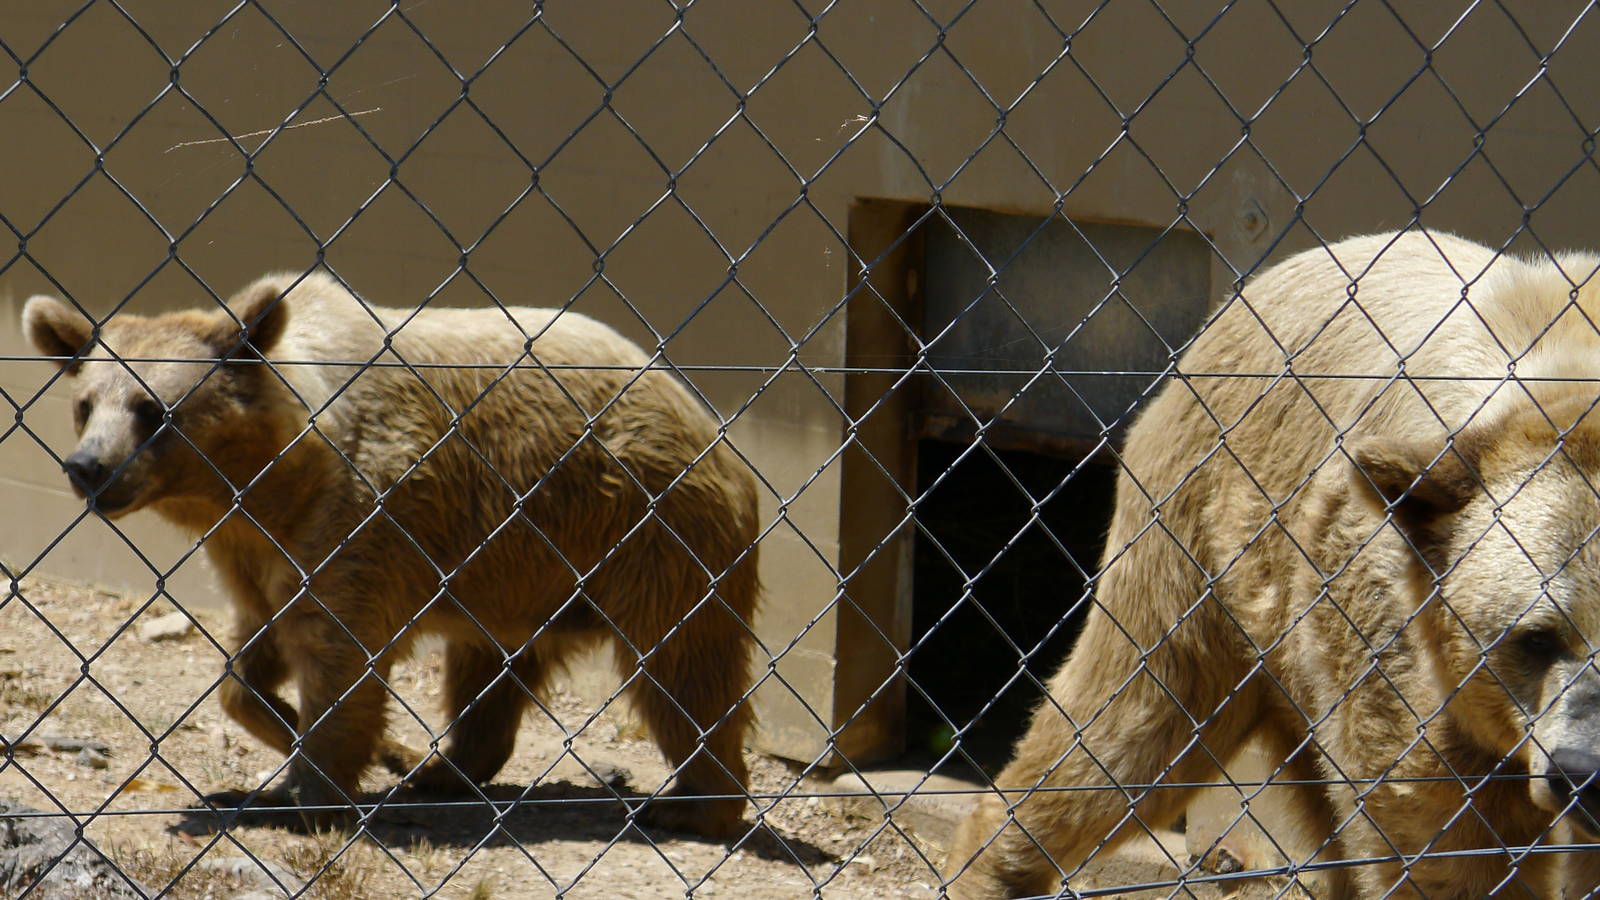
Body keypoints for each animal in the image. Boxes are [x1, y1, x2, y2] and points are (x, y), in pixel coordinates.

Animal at [21, 271, 761, 837]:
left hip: (647, 525)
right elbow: (249, 659)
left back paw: (694, 806)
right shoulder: (258, 552)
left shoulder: (359, 517)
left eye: (152, 408)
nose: (87, 468)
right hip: (524, 569)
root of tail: (709, 422)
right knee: (489, 671)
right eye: (85, 403)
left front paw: (304, 792)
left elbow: (337, 654)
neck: (265, 481)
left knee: (683, 666)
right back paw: (438, 768)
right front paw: (301, 733)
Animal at [943, 231, 1600, 898]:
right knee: (1130, 727)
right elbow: (1446, 834)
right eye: (1536, 636)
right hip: (1204, 528)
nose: (1581, 772)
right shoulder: (1407, 653)